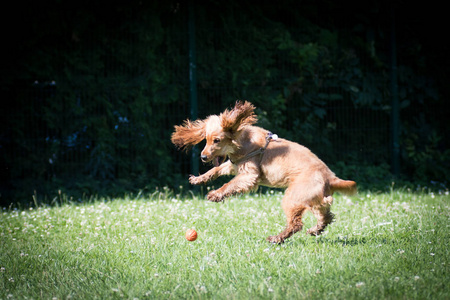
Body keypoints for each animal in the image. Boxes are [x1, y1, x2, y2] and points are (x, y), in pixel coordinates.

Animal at [171, 101, 356, 244]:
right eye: (206, 139)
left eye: (217, 140)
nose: (203, 157)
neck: (243, 142)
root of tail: (330, 177)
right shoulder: (235, 164)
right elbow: (216, 169)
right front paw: (199, 179)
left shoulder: (249, 174)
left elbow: (229, 184)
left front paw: (215, 194)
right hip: (316, 200)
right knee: (326, 217)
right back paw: (314, 230)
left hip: (293, 197)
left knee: (296, 224)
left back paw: (277, 238)